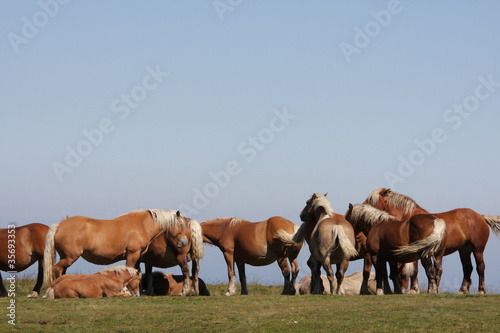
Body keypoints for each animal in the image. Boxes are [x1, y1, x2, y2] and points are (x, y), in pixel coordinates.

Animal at [42, 209, 188, 290]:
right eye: (180, 224)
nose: (184, 242)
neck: (141, 225)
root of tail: (59, 225)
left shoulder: (138, 257)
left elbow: (137, 272)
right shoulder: (132, 255)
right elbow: (129, 271)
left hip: (65, 257)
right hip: (69, 257)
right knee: (57, 269)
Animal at [364, 187, 500, 294]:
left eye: (370, 199)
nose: (362, 204)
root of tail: (480, 216)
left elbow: (415, 270)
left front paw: (414, 289)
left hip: (478, 249)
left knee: (480, 267)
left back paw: (481, 290)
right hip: (464, 250)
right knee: (468, 268)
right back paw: (462, 291)